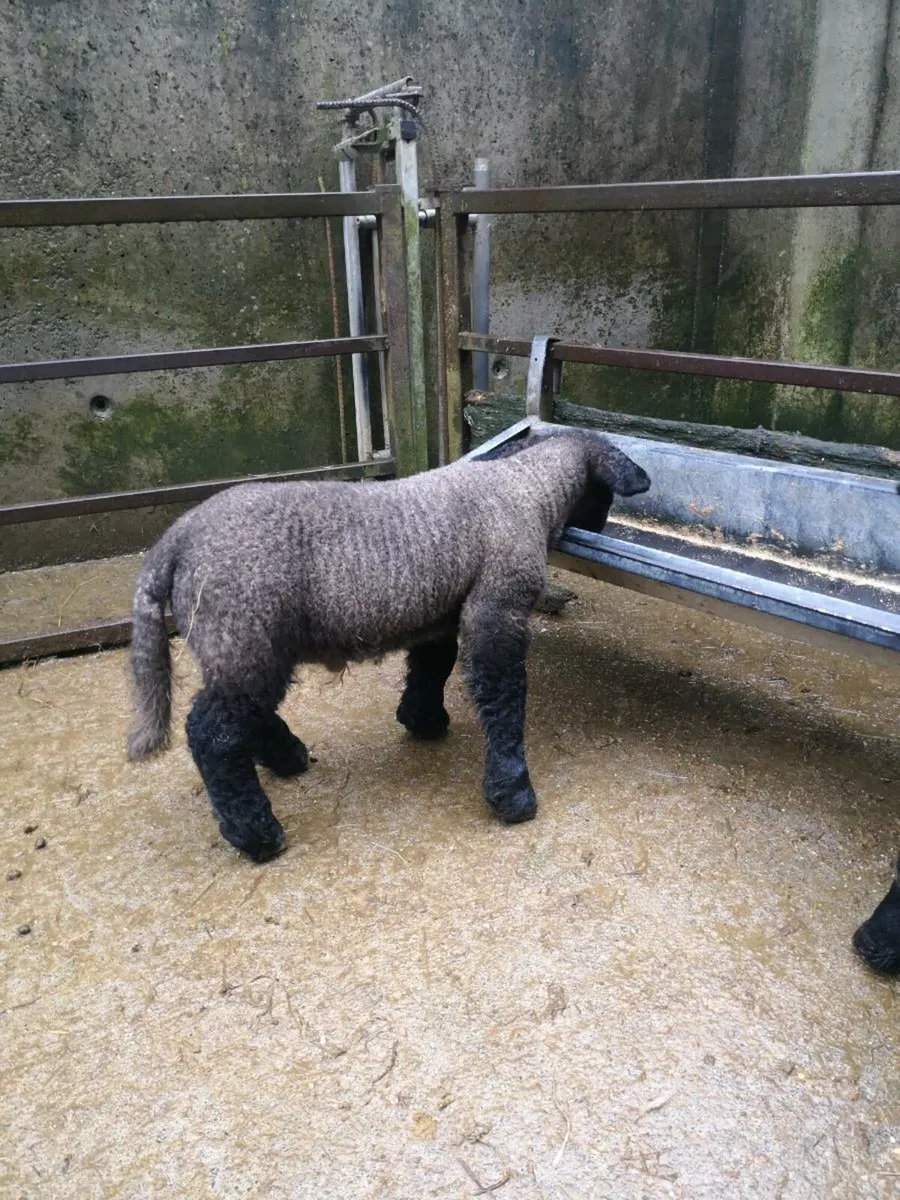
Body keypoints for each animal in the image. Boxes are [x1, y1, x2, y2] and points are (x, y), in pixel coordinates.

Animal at [126, 425, 650, 860]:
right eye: (604, 496)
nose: (600, 528)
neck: (526, 487)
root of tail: (175, 542)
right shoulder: (497, 607)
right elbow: (503, 696)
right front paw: (513, 792)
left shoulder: (441, 612)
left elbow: (433, 664)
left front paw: (423, 720)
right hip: (243, 633)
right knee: (213, 734)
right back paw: (256, 834)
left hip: (243, 647)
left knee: (241, 715)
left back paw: (287, 757)